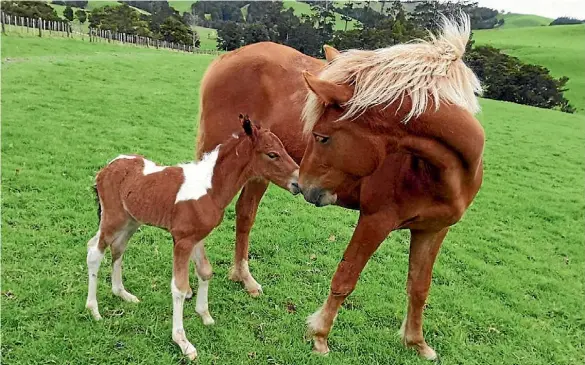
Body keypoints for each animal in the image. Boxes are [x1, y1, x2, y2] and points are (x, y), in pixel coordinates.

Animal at [196, 14, 484, 358]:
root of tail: (227, 58)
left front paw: (416, 341)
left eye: (321, 137)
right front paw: (320, 334)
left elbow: (419, 287)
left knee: (245, 215)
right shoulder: (375, 220)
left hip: (257, 170)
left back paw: (243, 277)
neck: (437, 171)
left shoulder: (433, 230)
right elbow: (346, 278)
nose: (303, 185)